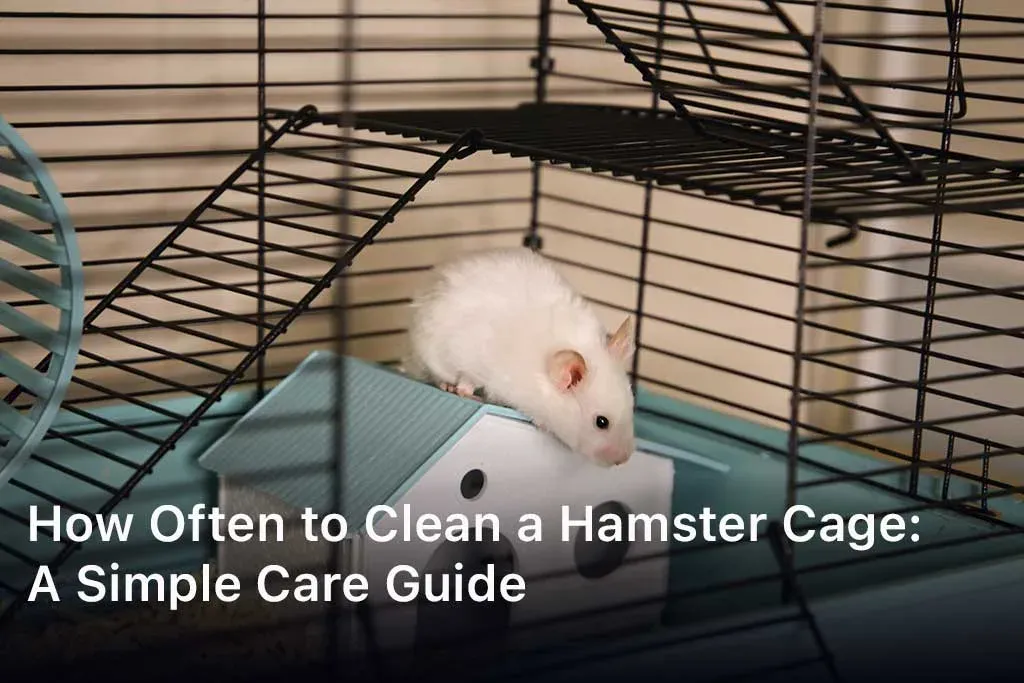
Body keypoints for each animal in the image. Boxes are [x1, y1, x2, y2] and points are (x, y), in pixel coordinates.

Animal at [404, 247, 637, 468]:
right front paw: (470, 395)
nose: (623, 460)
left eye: (631, 408)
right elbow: (467, 383)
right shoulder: (473, 363)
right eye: (601, 422)